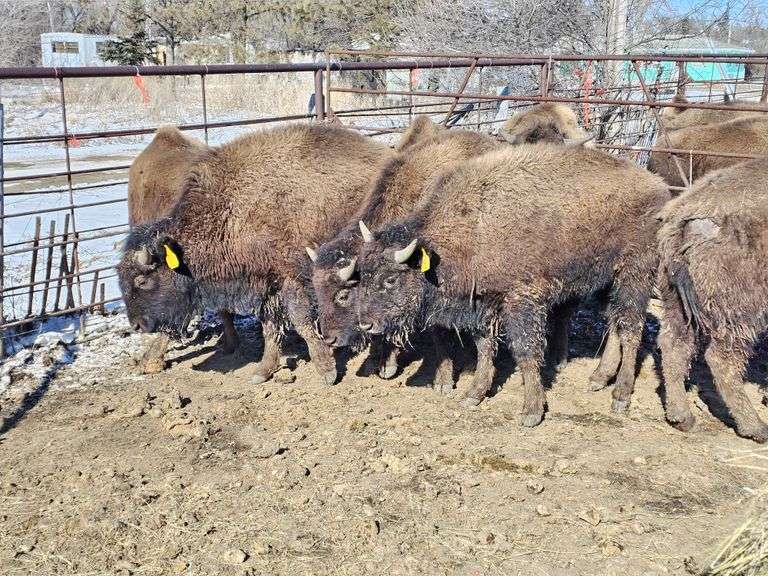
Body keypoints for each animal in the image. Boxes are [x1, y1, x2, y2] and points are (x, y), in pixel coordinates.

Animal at [307, 118, 501, 385]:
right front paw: (384, 364)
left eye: (343, 295)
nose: (329, 338)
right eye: (317, 292)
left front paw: (441, 381)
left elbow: (438, 333)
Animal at [353, 144, 669, 427]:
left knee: (631, 329)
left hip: (634, 273)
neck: (472, 226)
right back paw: (598, 378)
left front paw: (531, 411)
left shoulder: (522, 301)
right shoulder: (483, 303)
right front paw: (474, 394)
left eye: (391, 279)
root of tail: (659, 187)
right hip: (607, 280)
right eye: (363, 274)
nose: (365, 323)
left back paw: (620, 397)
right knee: (614, 322)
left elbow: (525, 350)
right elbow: (485, 346)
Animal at [657, 158, 768, 442]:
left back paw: (682, 417)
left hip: (676, 300)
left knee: (674, 344)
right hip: (742, 310)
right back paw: (755, 428)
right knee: (722, 360)